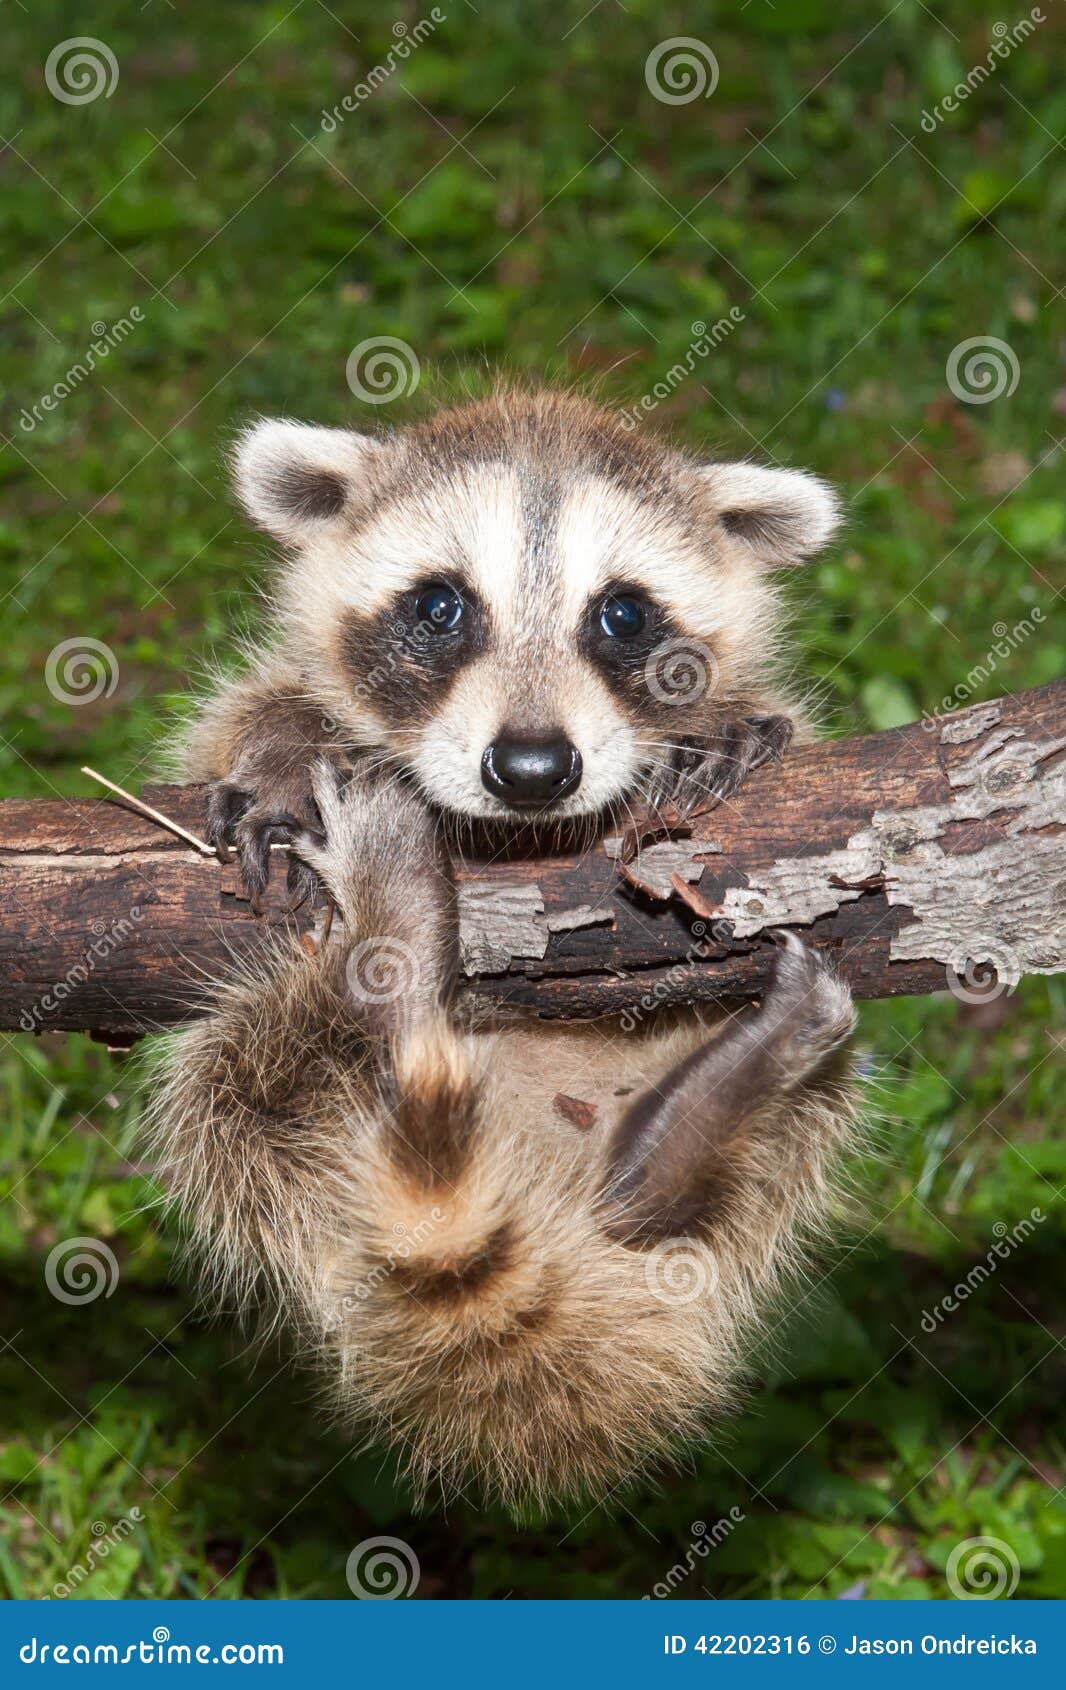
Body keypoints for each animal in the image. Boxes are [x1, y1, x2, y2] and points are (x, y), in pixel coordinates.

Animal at [151, 390, 859, 1506]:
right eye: (441, 606)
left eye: (623, 615)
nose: (531, 769)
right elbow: (246, 715)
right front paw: (283, 748)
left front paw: (727, 721)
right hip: (258, 1098)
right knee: (251, 1083)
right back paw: (391, 976)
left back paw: (684, 1139)